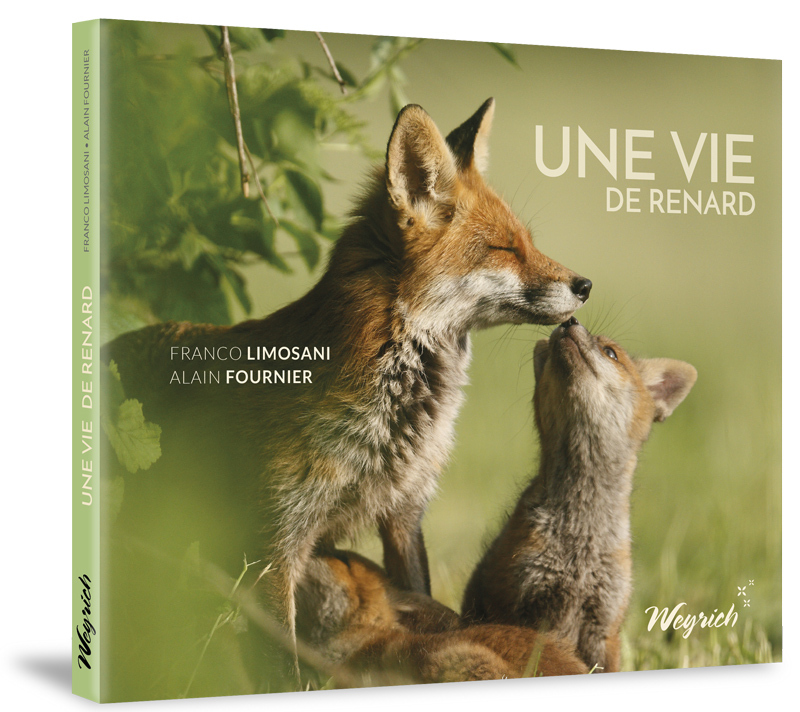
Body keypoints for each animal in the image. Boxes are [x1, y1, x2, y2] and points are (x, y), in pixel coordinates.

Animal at [103, 99, 592, 665]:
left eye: (528, 242)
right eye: (504, 249)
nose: (585, 285)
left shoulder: (404, 514)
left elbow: (416, 598)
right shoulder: (276, 538)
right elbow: (282, 663)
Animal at [461, 317, 697, 672]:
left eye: (611, 353)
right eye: (547, 358)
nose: (569, 321)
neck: (578, 543)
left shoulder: (605, 623)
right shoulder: (524, 607)